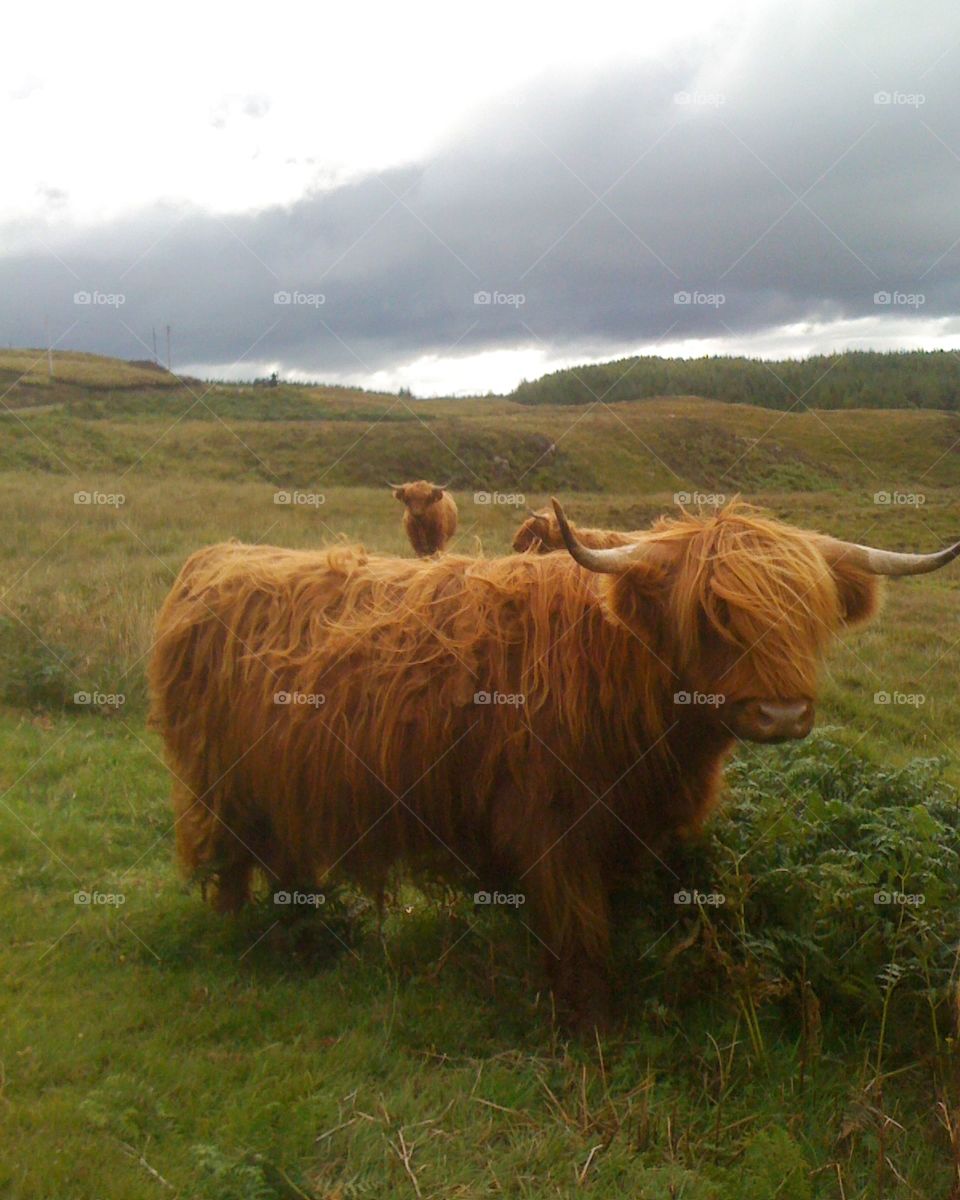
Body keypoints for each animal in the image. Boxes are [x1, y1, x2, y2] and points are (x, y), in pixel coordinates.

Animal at [148, 498, 960, 1030]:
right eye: (712, 616)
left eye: (810, 617)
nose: (784, 715)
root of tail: (212, 560)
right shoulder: (551, 824)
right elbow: (578, 926)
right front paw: (587, 1017)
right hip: (219, 782)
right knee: (229, 862)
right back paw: (254, 938)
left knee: (281, 855)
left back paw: (307, 928)